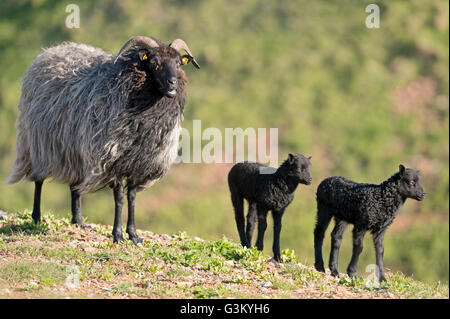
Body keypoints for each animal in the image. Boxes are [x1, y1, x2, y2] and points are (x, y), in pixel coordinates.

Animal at [6, 36, 200, 244]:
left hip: (74, 149)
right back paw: (36, 218)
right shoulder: (111, 160)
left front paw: (134, 235)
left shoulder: (137, 164)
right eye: (154, 63)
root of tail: (48, 52)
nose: (172, 84)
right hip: (38, 141)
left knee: (75, 185)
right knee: (39, 179)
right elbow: (119, 197)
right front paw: (118, 235)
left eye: (178, 63)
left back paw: (78, 222)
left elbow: (132, 197)